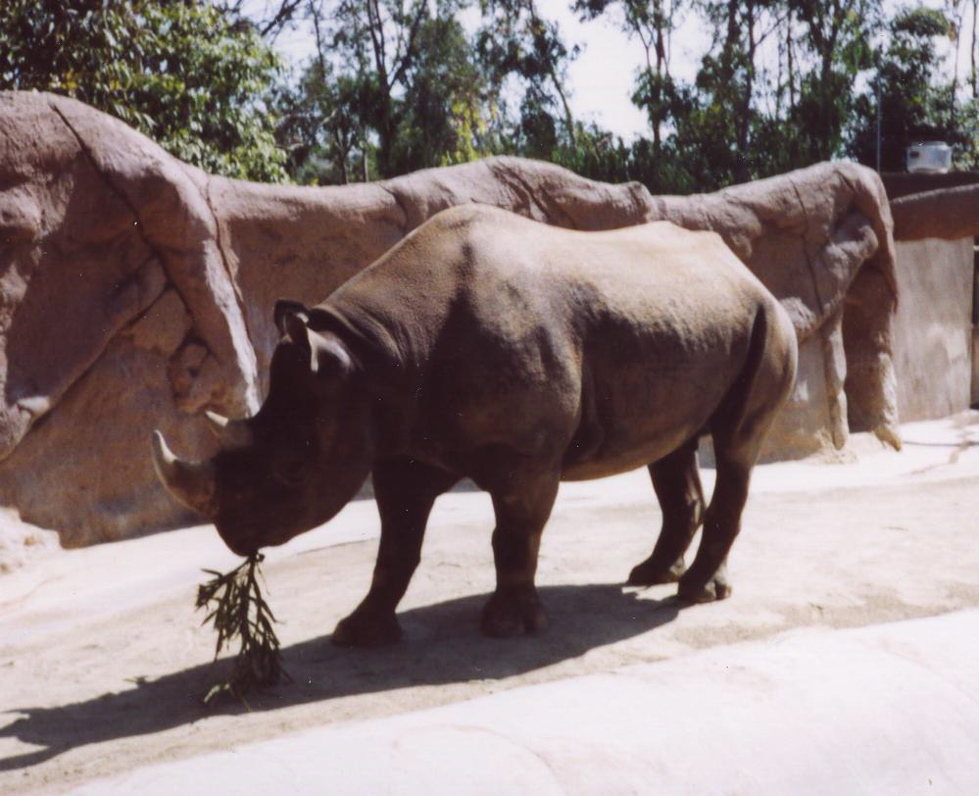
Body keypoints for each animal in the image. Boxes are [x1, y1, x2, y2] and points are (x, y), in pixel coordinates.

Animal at [152, 204, 798, 645]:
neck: (369, 358)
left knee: (736, 446)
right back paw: (650, 574)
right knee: (671, 444)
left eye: (291, 468)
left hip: (766, 321)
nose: (233, 536)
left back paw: (694, 593)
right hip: (683, 321)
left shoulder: (527, 456)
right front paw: (357, 632)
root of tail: (746, 271)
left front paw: (508, 628)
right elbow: (395, 546)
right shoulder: (399, 445)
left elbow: (513, 534)